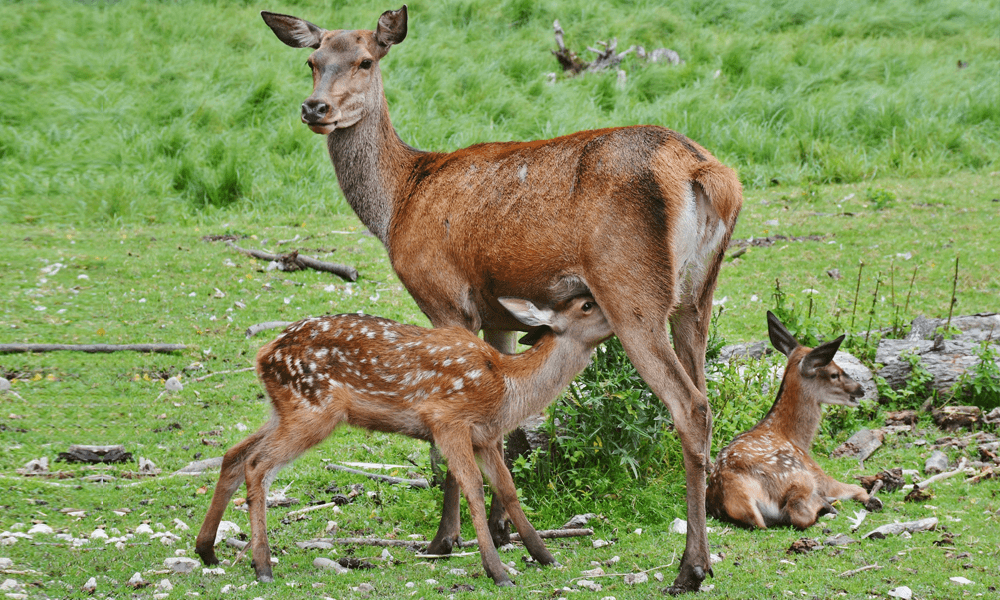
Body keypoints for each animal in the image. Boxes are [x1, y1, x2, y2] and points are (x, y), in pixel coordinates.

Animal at [195, 296, 612, 584]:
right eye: (587, 304)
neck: (509, 389)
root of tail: (263, 355)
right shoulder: (448, 420)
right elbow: (473, 487)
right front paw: (497, 571)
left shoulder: (485, 436)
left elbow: (508, 489)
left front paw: (545, 556)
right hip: (313, 409)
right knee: (257, 464)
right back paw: (262, 566)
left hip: (284, 409)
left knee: (233, 454)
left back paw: (207, 552)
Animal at [258, 7, 744, 592]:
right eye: (312, 61)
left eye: (366, 60)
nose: (316, 108)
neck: (399, 203)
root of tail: (704, 173)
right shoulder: (498, 315)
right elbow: (505, 426)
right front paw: (502, 530)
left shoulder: (444, 297)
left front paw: (444, 539)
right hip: (697, 295)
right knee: (704, 394)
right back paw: (707, 556)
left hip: (632, 292)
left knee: (688, 405)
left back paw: (689, 568)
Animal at [704, 314, 884, 528]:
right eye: (834, 373)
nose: (860, 389)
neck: (795, 438)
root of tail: (738, 499)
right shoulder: (818, 473)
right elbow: (857, 488)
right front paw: (872, 499)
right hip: (798, 476)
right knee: (799, 513)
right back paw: (827, 506)